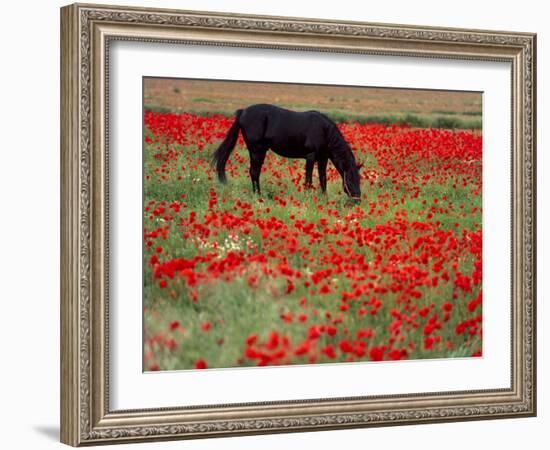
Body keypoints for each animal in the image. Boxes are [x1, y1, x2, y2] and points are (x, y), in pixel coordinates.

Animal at [211, 104, 362, 200]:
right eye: (350, 178)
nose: (357, 200)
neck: (324, 131)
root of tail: (242, 112)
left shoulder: (323, 158)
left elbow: (323, 179)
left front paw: (324, 199)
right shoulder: (311, 156)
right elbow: (308, 179)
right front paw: (307, 198)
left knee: (254, 172)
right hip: (256, 150)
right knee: (254, 172)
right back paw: (258, 196)